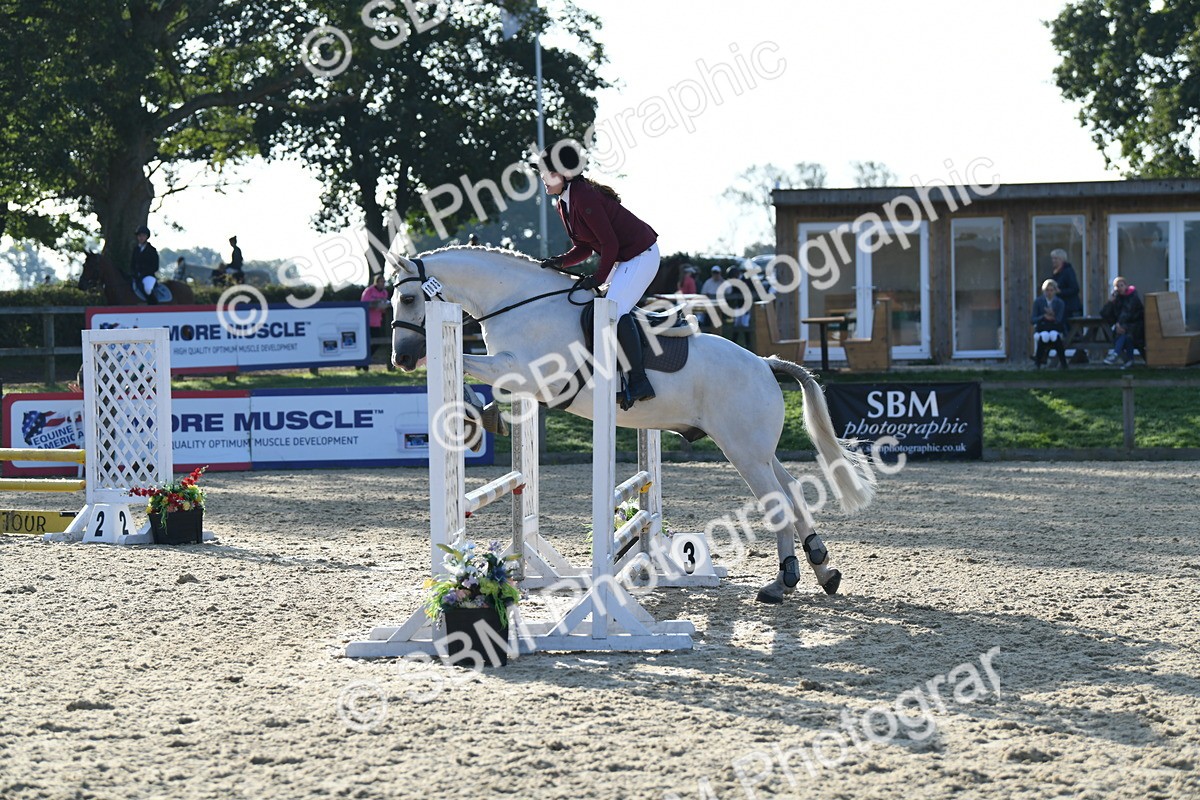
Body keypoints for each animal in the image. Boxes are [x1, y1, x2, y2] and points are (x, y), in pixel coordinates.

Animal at [388, 246, 877, 604]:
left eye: (409, 298)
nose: (402, 358)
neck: (518, 303)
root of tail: (764, 362)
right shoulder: (520, 377)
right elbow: (471, 371)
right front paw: (482, 414)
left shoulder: (525, 372)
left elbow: (468, 364)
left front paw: (476, 414)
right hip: (757, 448)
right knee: (790, 489)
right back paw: (823, 569)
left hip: (742, 450)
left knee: (776, 500)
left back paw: (782, 583)